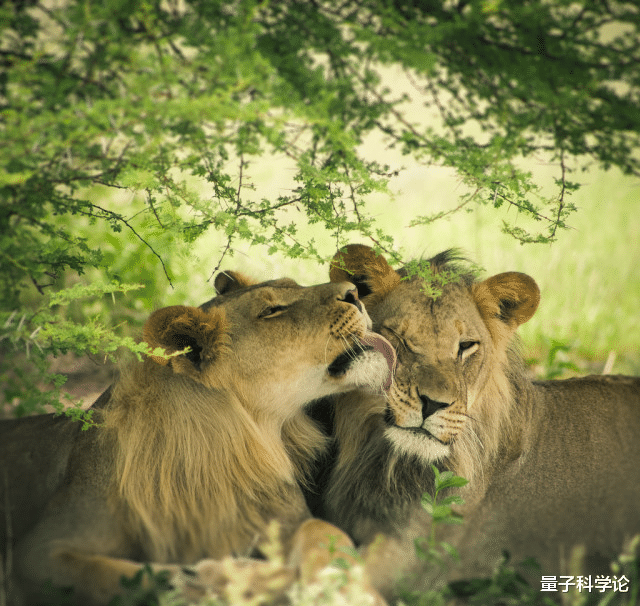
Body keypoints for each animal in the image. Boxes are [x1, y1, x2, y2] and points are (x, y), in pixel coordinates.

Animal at [1, 272, 396, 606]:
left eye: (294, 285)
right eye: (272, 311)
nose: (355, 291)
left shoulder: (284, 517)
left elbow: (325, 530)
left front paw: (347, 590)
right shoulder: (40, 551)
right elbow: (113, 576)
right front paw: (224, 579)